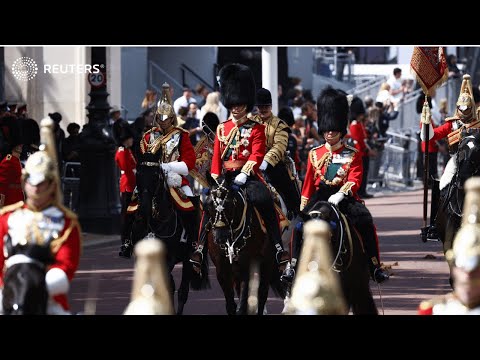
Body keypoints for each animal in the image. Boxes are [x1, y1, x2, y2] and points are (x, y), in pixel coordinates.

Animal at [192, 172, 284, 316]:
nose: (220, 238)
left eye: (229, 204)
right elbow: (231, 305)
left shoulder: (246, 266)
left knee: (262, 293)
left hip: (267, 262)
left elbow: (242, 305)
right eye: (210, 205)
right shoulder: (222, 269)